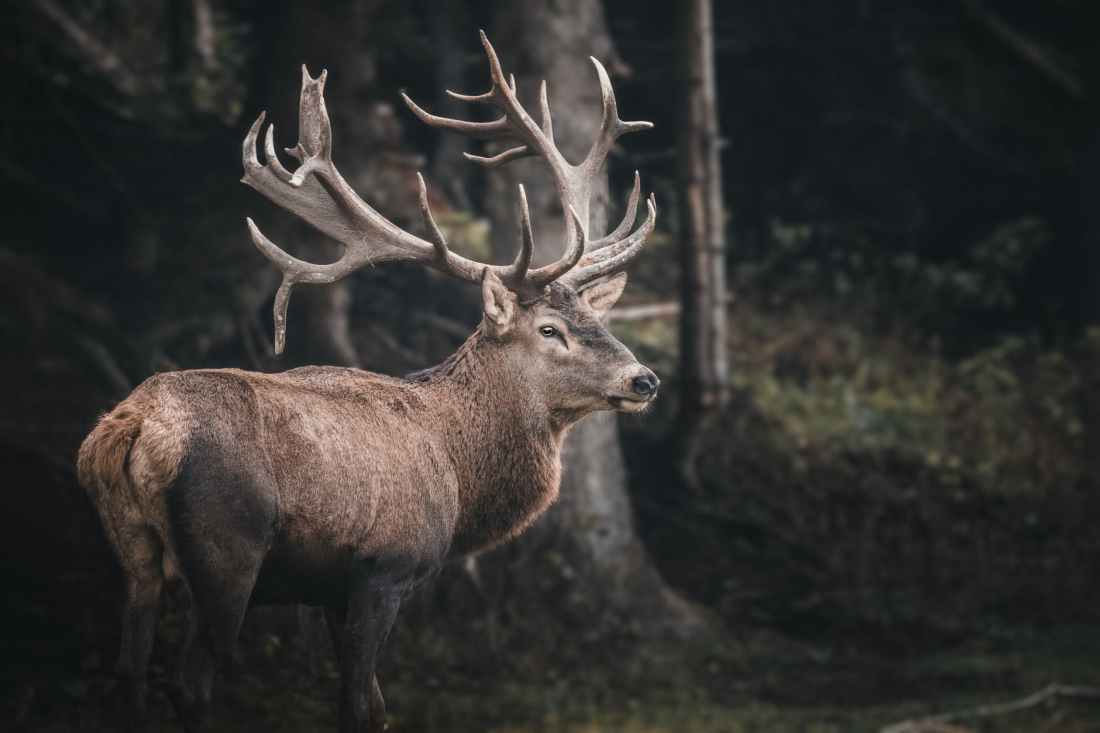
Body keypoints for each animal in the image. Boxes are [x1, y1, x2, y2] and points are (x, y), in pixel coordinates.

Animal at [77, 31, 658, 733]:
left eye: (596, 319)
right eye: (550, 329)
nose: (644, 379)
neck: (459, 476)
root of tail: (133, 426)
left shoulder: (329, 590)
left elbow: (372, 705)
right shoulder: (384, 567)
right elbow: (360, 702)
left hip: (131, 550)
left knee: (126, 674)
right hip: (225, 549)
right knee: (192, 682)